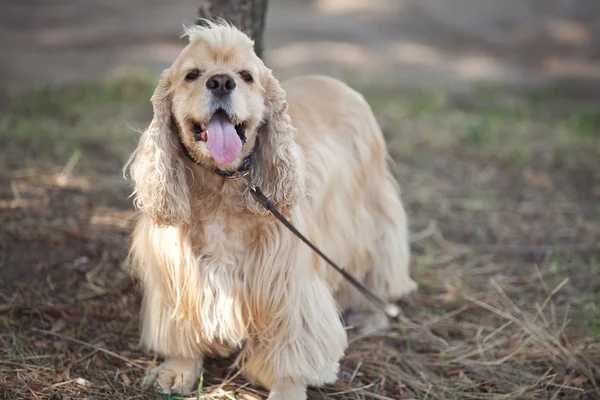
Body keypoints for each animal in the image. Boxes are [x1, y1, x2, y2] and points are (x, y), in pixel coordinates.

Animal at [125, 20, 418, 400]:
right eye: (192, 74)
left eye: (246, 76)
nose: (221, 82)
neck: (223, 187)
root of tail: (337, 82)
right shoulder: (177, 275)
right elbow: (181, 331)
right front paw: (178, 369)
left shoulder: (290, 287)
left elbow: (291, 350)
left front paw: (286, 389)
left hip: (373, 210)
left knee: (381, 264)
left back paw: (372, 314)